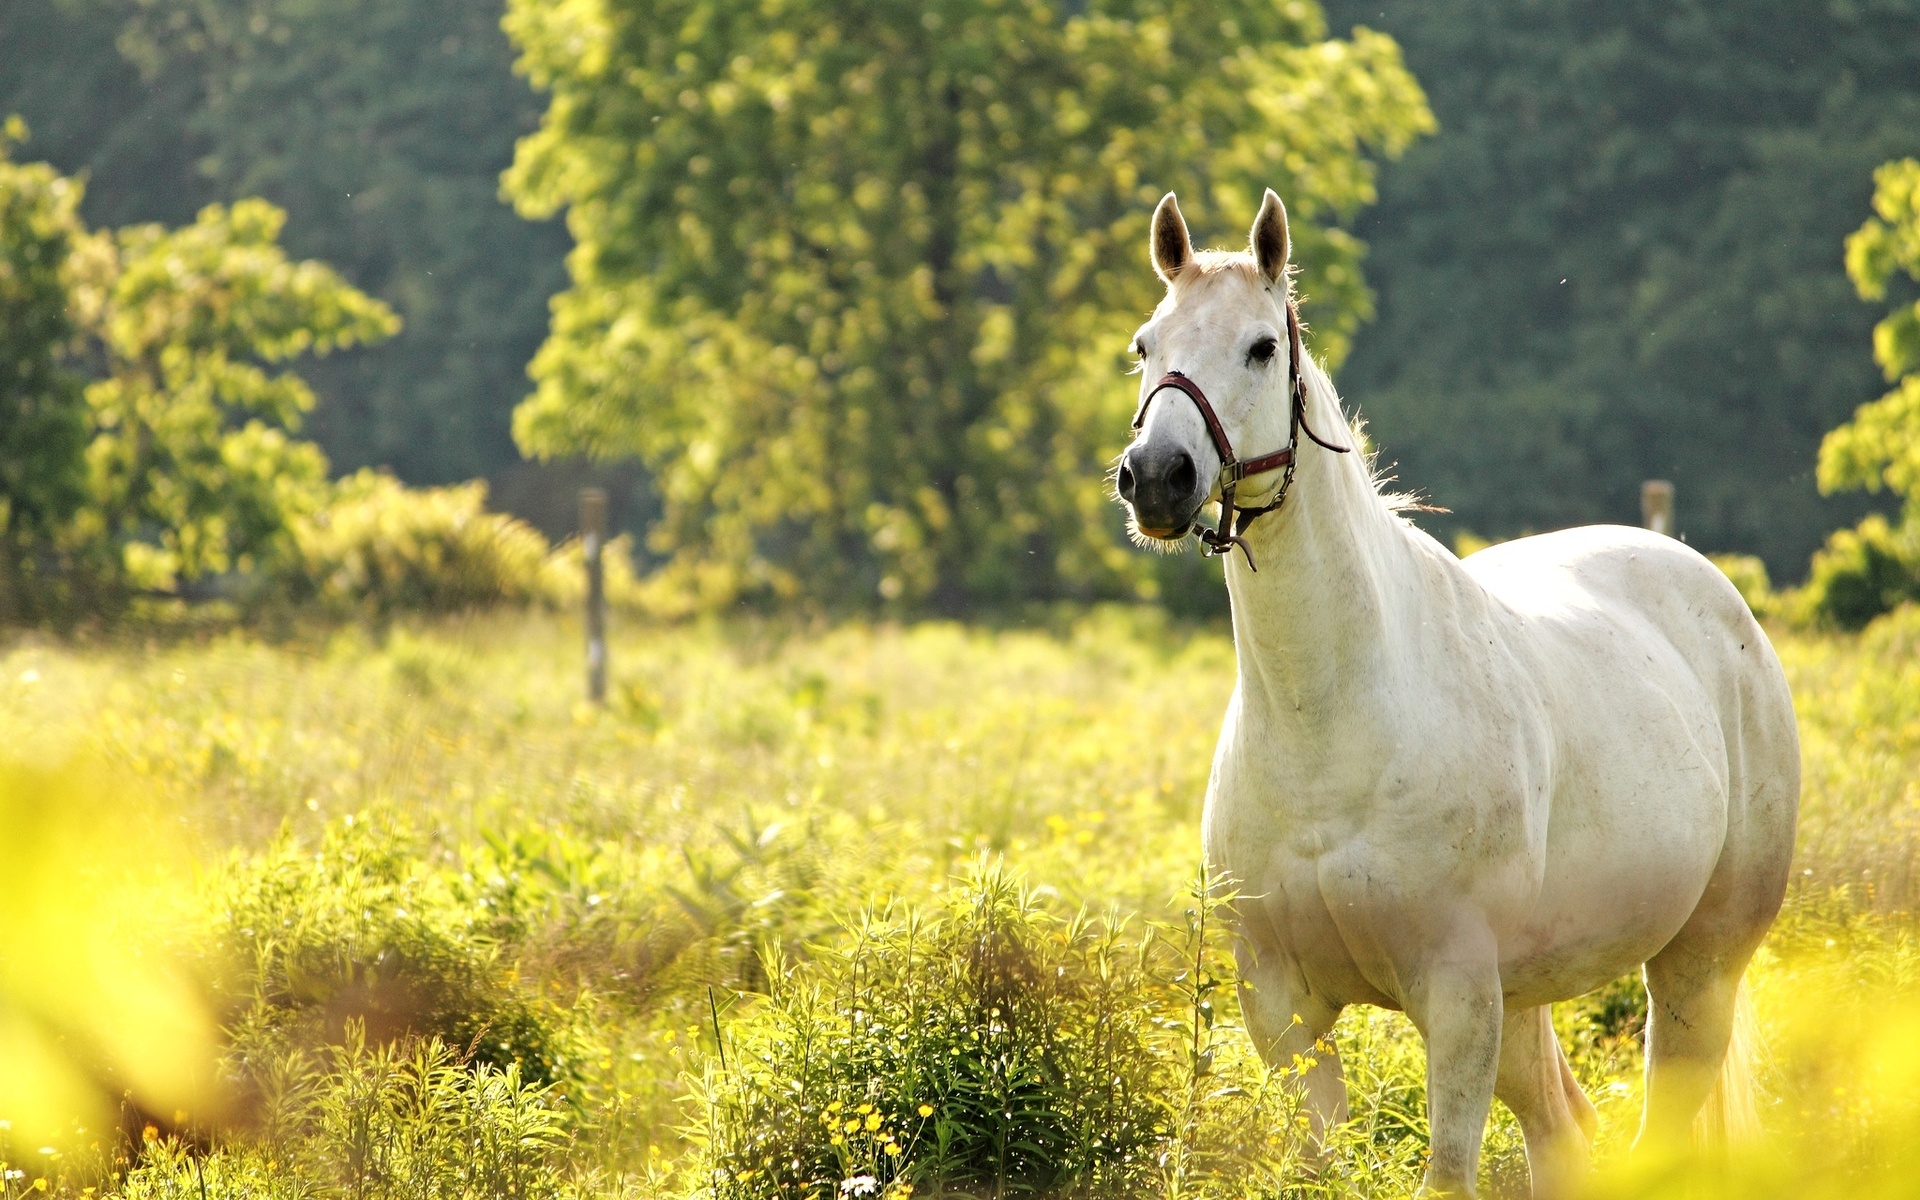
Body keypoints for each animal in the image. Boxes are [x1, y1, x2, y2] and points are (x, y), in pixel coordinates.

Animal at [1113, 192, 1797, 1190]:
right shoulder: (1282, 1009)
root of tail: (1712, 593)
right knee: (1564, 1133)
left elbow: (1446, 1174)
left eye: (1261, 348)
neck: (1331, 728)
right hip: (1530, 1000)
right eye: (1145, 343)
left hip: (1695, 968)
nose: (1157, 478)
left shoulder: (1458, 996)